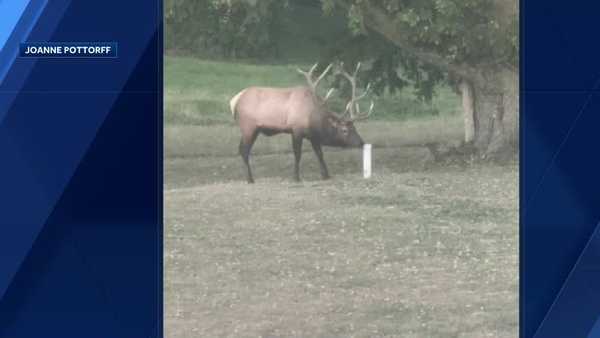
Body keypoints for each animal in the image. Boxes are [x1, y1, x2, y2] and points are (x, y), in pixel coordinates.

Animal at [229, 60, 372, 182]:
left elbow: (320, 154)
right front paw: (296, 177)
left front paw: (326, 175)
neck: (314, 118)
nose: (361, 142)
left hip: (254, 129)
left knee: (242, 149)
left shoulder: (313, 136)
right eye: (344, 130)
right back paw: (250, 179)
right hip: (248, 127)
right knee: (243, 150)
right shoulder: (296, 130)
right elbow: (298, 154)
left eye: (355, 128)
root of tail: (234, 100)